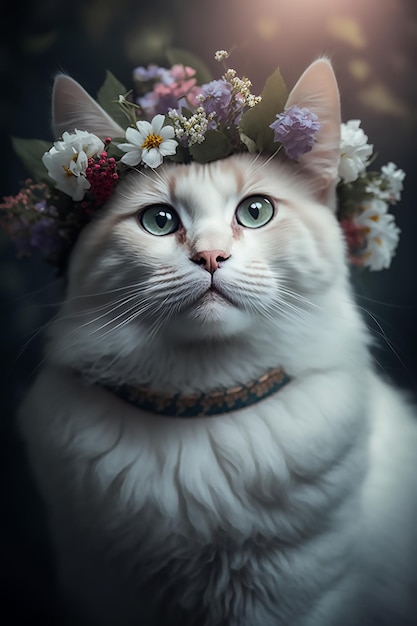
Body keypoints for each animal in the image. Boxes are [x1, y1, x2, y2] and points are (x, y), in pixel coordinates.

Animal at [19, 58, 416, 624]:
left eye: (255, 212)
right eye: (159, 221)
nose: (210, 256)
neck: (202, 405)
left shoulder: (300, 594)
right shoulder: (103, 589)